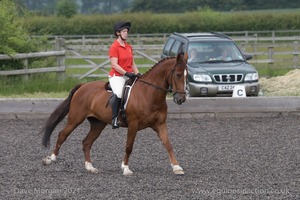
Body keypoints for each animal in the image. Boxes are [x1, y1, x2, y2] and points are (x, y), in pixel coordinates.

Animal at [41, 52, 188, 175]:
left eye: (187, 75)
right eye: (178, 74)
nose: (181, 99)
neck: (148, 93)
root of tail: (82, 86)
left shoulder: (160, 124)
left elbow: (168, 144)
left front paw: (177, 167)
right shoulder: (133, 125)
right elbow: (129, 146)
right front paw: (126, 168)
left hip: (98, 124)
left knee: (86, 142)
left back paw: (90, 167)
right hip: (75, 119)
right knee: (62, 135)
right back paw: (50, 159)